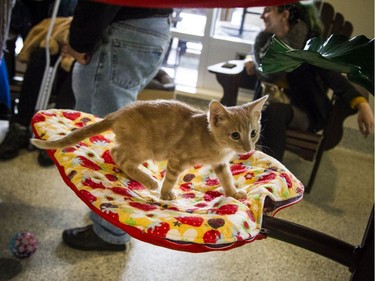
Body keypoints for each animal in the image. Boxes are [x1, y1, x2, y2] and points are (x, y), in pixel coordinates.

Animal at [31, 96, 268, 199]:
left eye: (253, 133)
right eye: (235, 135)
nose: (248, 147)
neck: (214, 143)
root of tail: (118, 113)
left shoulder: (220, 164)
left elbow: (226, 177)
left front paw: (233, 193)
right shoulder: (177, 157)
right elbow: (171, 178)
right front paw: (165, 193)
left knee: (116, 152)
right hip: (144, 147)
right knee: (117, 154)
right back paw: (149, 181)